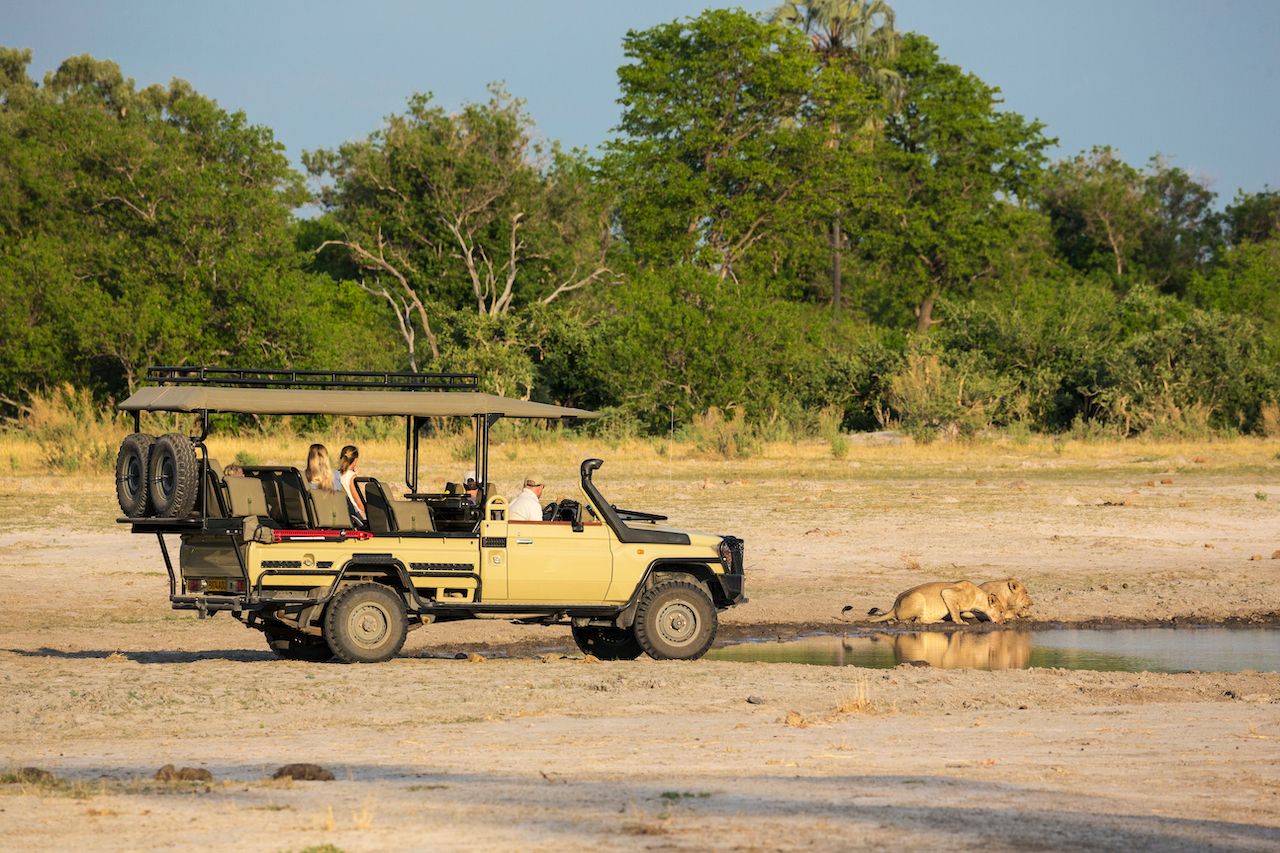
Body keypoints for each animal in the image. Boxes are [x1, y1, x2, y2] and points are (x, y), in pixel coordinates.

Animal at [860, 578, 998, 625]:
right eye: (1001, 612)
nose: (1002, 622)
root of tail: (895, 606)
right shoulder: (948, 593)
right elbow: (955, 612)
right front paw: (961, 622)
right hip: (918, 598)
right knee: (919, 621)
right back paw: (937, 621)